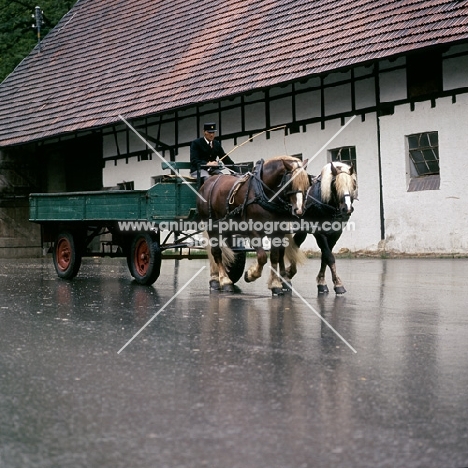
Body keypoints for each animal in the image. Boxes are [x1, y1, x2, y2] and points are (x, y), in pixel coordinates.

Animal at [197, 155, 310, 294]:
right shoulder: (252, 231)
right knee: (216, 252)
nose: (299, 210)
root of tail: (207, 183)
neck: (262, 192)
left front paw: (276, 284)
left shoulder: (277, 231)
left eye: (307, 183)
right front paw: (251, 274)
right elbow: (262, 257)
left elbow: (275, 256)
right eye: (290, 183)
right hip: (211, 226)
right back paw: (224, 280)